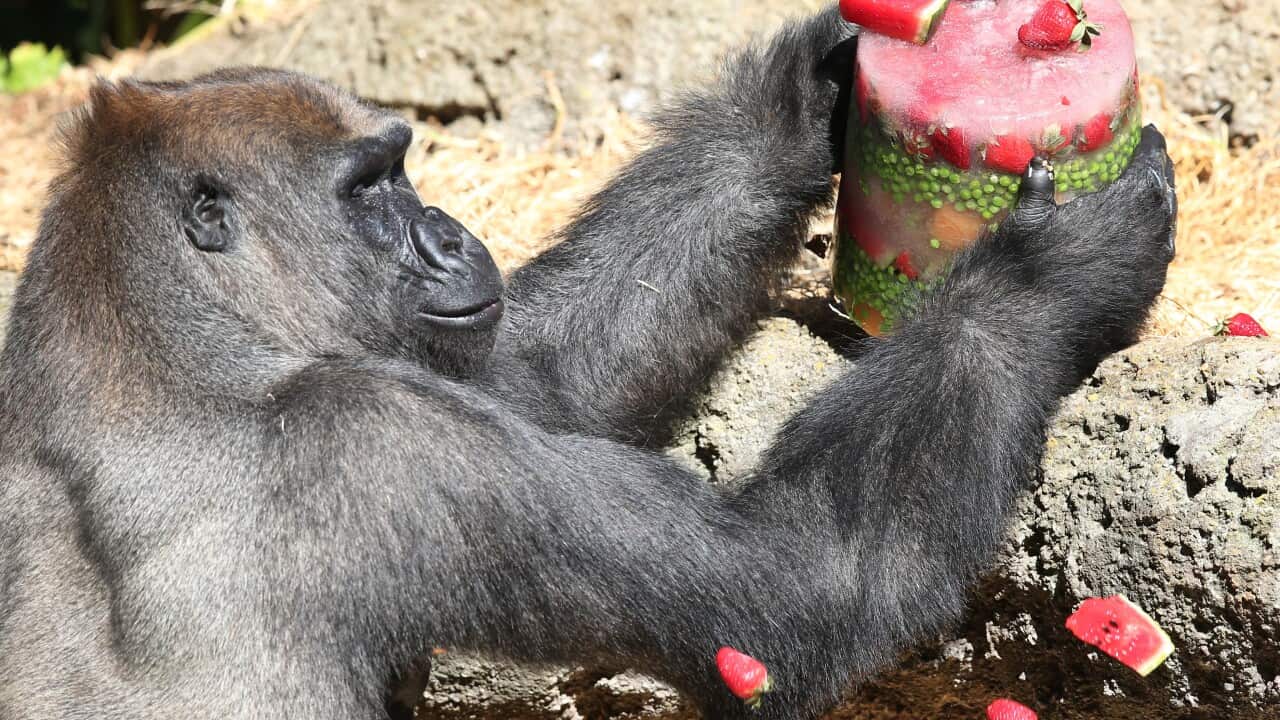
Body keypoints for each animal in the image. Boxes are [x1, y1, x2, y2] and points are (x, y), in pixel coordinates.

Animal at [0, 7, 1176, 720]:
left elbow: (546, 369)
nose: (448, 234)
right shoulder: (377, 444)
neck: (146, 323)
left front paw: (802, 95)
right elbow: (798, 592)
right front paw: (1044, 278)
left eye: (400, 171)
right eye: (369, 190)